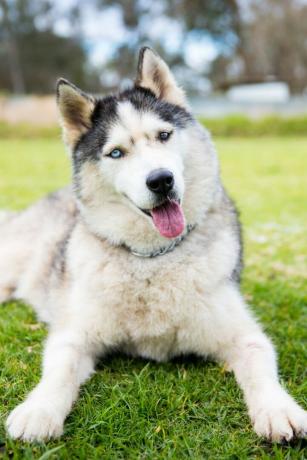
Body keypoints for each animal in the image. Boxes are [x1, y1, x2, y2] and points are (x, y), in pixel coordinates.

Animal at [2, 47, 307, 442]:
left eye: (164, 135)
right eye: (117, 153)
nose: (161, 180)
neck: (152, 259)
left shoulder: (244, 334)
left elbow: (259, 363)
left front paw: (278, 409)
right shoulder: (74, 334)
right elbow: (59, 372)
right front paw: (38, 411)